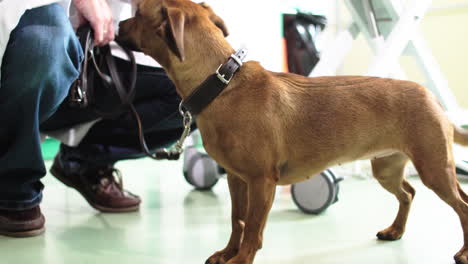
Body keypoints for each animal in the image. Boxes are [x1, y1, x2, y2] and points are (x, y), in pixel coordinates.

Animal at [118, 1, 468, 262]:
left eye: (137, 12)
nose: (118, 26)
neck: (222, 85)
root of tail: (433, 98)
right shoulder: (236, 180)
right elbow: (237, 221)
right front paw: (227, 252)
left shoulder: (261, 182)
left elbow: (253, 229)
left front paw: (241, 259)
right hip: (387, 168)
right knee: (408, 193)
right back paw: (396, 230)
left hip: (434, 169)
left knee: (461, 206)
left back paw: (463, 252)